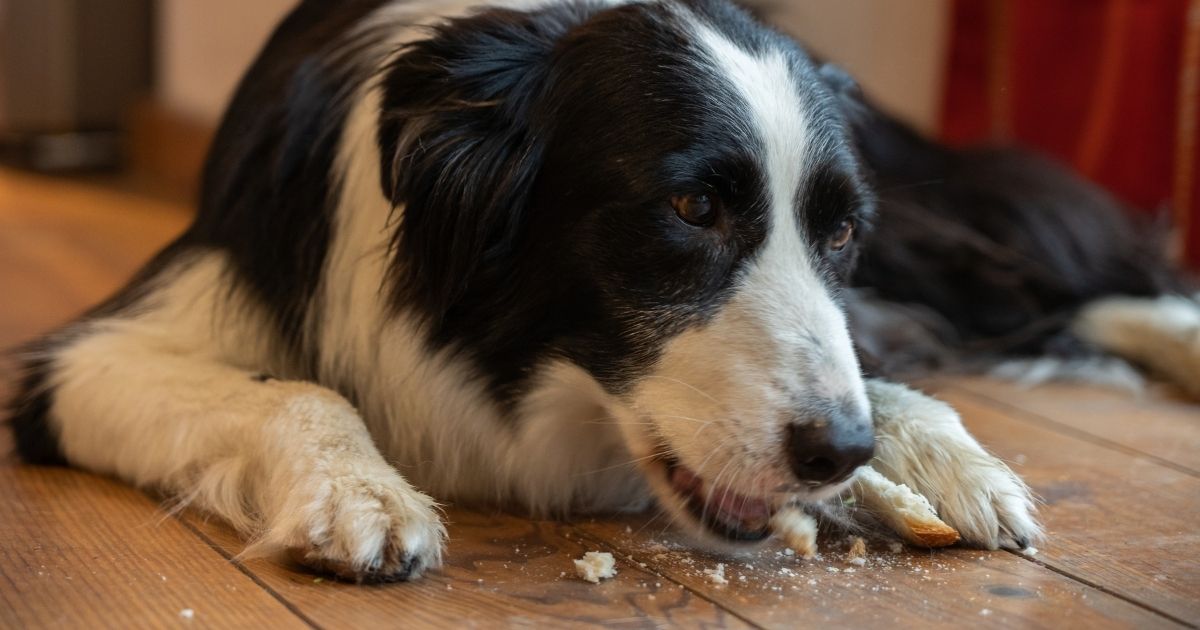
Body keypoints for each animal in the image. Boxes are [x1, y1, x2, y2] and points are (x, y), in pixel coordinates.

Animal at [4, 0, 1195, 580]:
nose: (837, 451)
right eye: (692, 209)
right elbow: (298, 389)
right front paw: (361, 495)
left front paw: (940, 460)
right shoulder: (84, 360)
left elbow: (874, 355)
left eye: (840, 230)